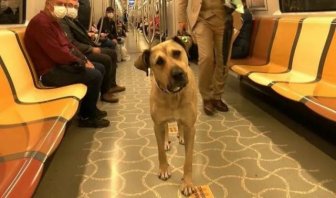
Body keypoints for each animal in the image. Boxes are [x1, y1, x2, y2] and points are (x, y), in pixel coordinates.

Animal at [134, 36, 197, 196]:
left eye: (177, 53)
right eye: (159, 62)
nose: (178, 73)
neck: (173, 96)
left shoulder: (190, 126)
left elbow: (188, 159)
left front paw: (187, 182)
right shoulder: (157, 125)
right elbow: (160, 151)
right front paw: (163, 168)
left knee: (179, 124)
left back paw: (181, 136)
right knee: (167, 126)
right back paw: (166, 140)